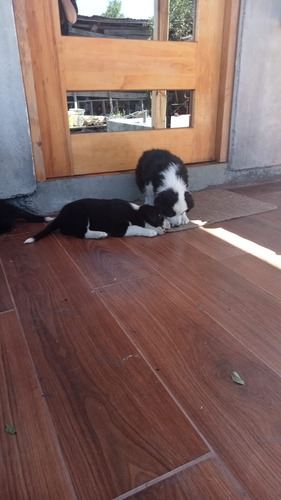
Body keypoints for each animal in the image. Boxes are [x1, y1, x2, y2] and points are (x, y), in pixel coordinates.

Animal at [24, 196, 168, 243]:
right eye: (160, 217)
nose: (168, 227)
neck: (136, 213)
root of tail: (61, 215)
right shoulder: (119, 228)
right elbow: (136, 227)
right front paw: (150, 232)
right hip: (81, 215)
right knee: (81, 233)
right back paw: (99, 234)